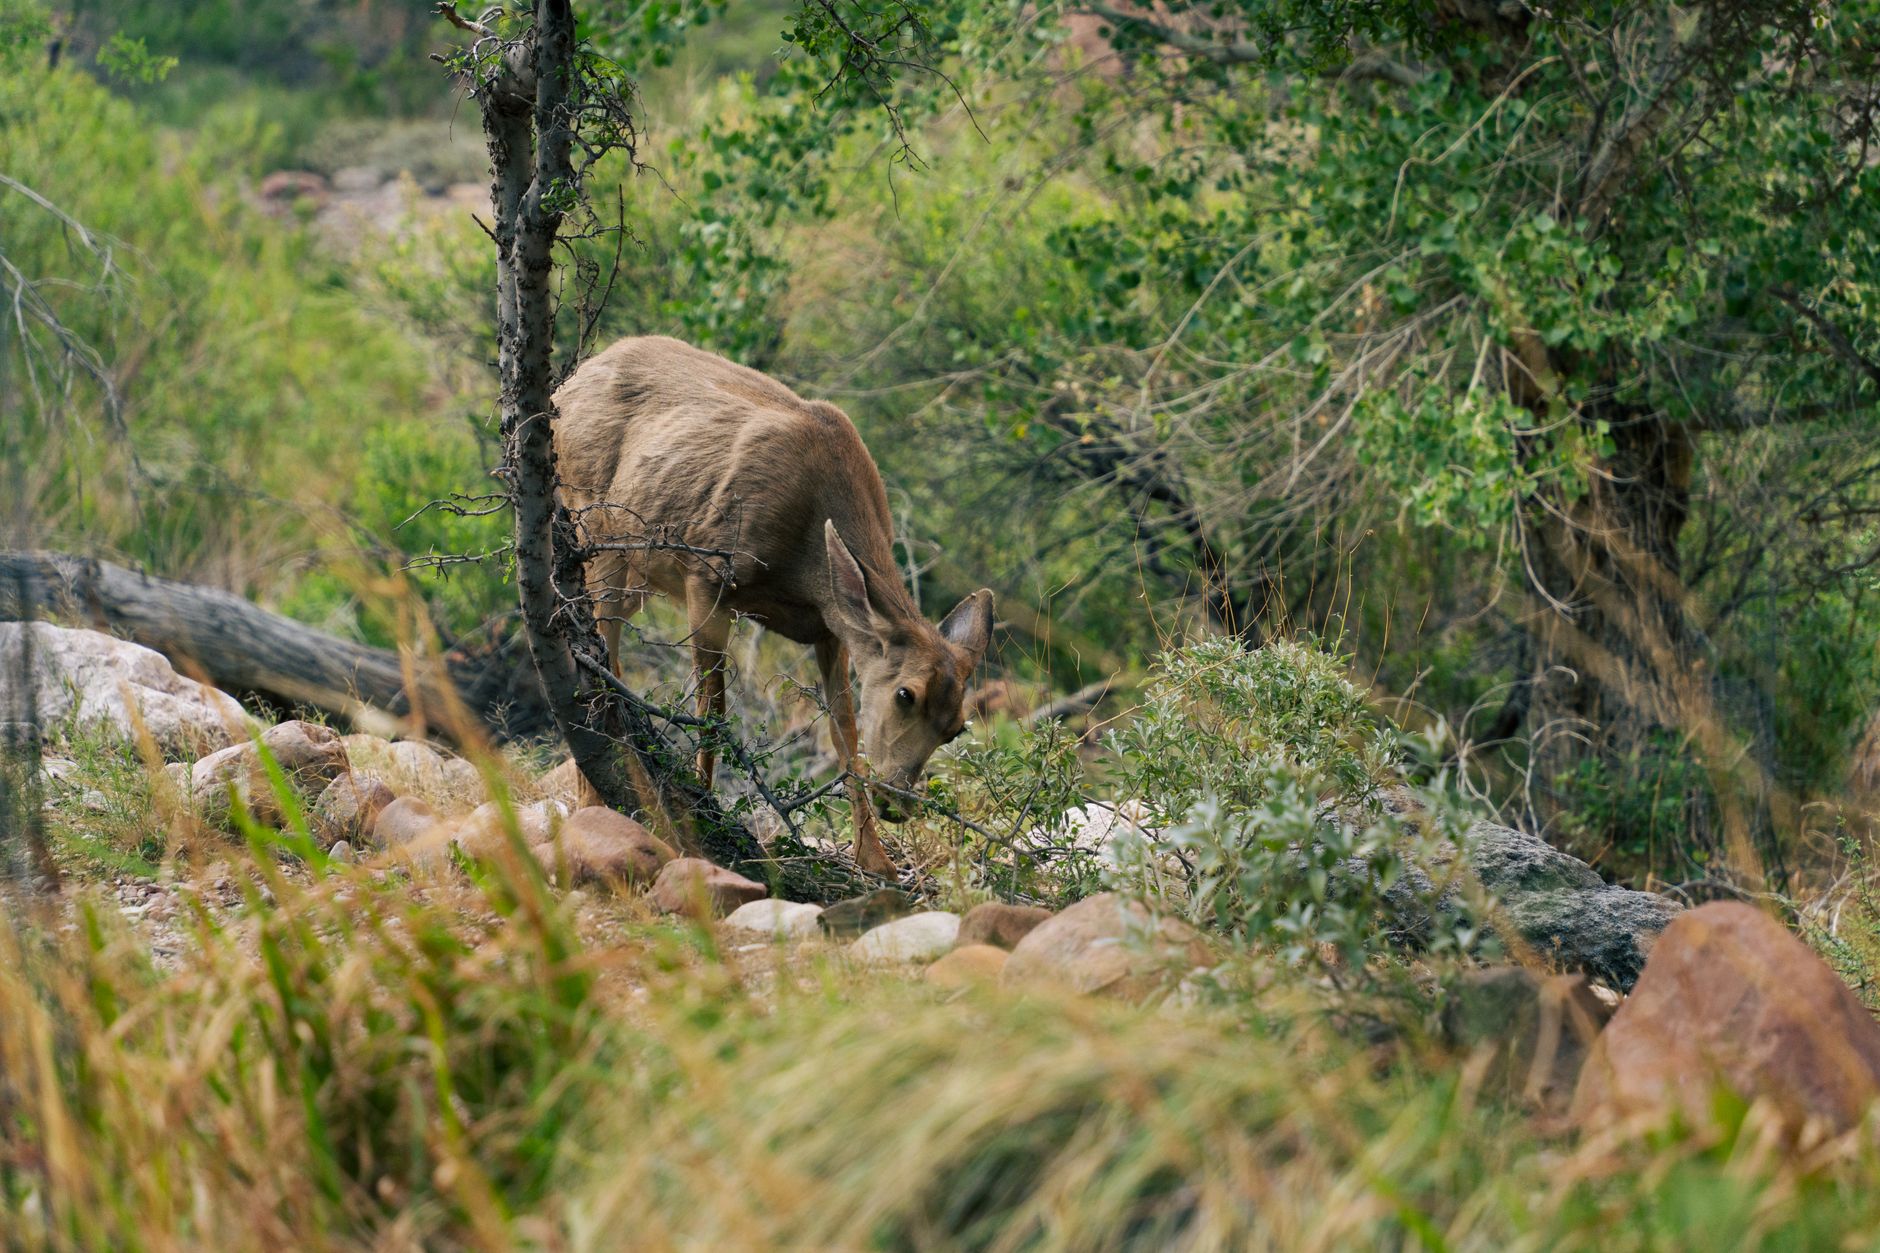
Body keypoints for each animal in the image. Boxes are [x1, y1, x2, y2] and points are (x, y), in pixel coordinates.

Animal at [550, 335, 994, 875]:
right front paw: (707, 822)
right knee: (599, 651)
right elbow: (713, 712)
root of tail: (569, 384)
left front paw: (875, 861)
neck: (804, 561)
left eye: (956, 728)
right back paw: (594, 803)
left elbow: (845, 737)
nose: (898, 803)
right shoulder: (707, 573)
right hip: (597, 527)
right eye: (906, 694)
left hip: (638, 571)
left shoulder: (831, 626)